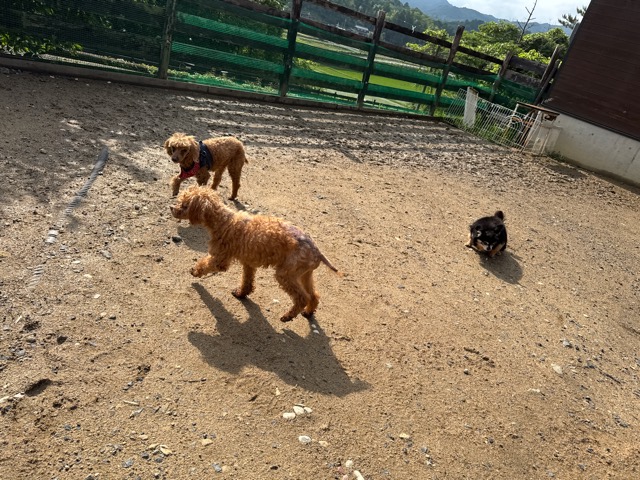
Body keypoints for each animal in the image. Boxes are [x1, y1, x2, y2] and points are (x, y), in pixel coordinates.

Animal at [170, 186, 340, 322]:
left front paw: (195, 271)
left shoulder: (220, 259)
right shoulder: (248, 263)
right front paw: (241, 294)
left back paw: (288, 316)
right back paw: (308, 312)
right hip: (304, 274)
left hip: (286, 273)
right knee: (314, 295)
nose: (171, 207)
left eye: (185, 205)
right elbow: (247, 281)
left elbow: (205, 264)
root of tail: (316, 251)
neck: (222, 221)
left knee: (302, 297)